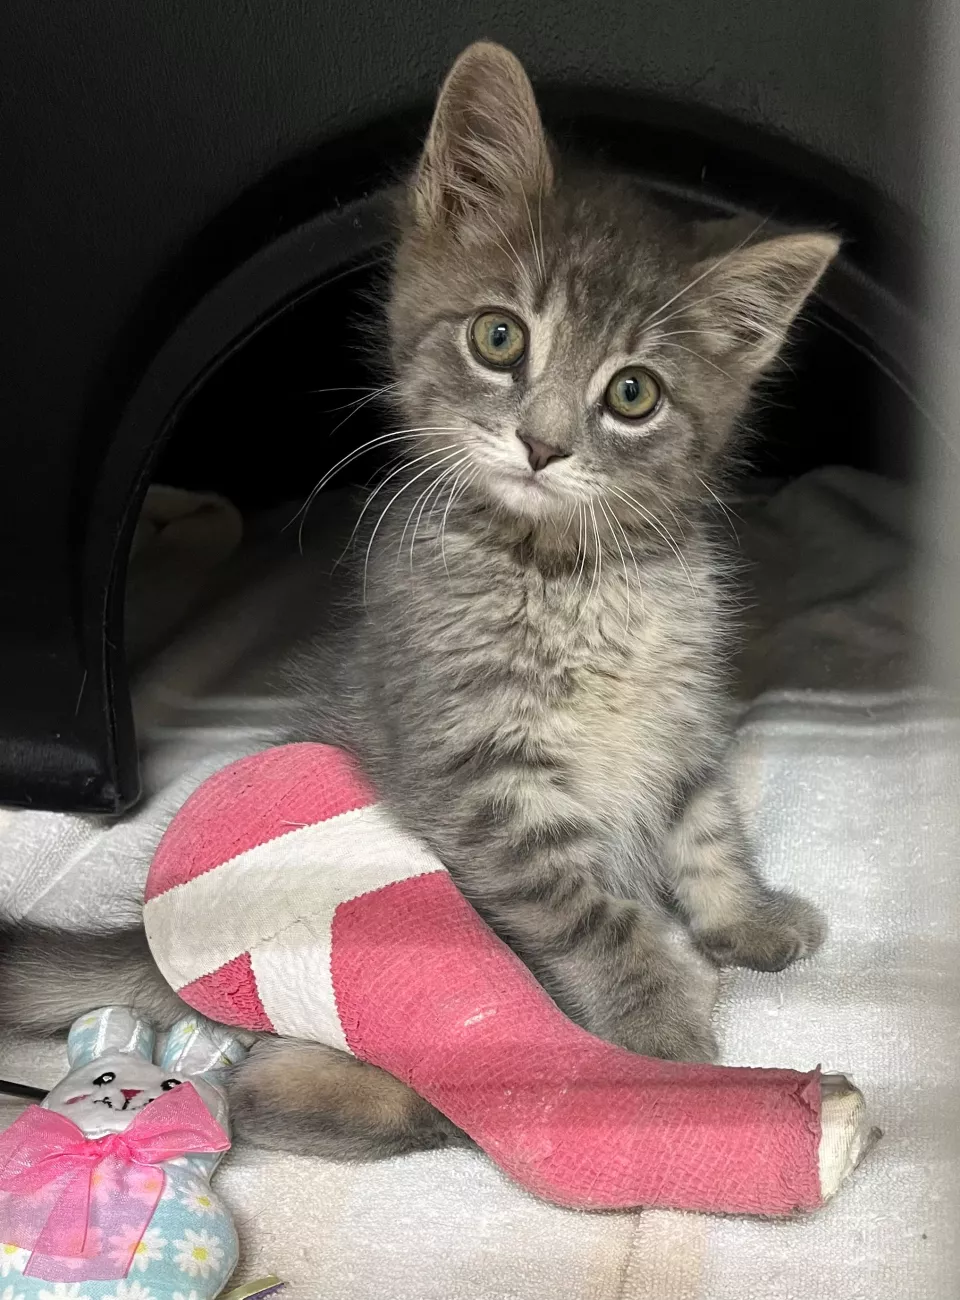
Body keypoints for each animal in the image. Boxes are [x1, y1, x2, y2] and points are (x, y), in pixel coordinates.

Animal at [0, 43, 832, 1159]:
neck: (572, 573)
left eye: (633, 394)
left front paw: (747, 918)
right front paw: (657, 1008)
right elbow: (587, 903)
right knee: (270, 1088)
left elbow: (706, 832)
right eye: (499, 337)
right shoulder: (475, 769)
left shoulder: (682, 716)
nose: (542, 444)